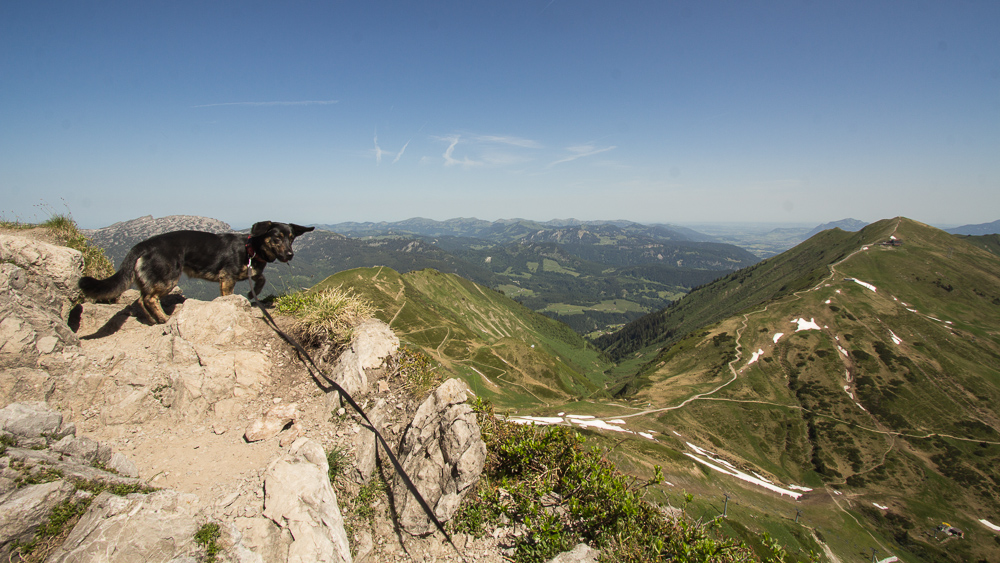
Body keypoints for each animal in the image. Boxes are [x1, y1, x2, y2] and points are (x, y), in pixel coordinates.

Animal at [78, 221, 312, 324]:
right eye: (277, 238)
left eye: (292, 238)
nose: (290, 254)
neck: (250, 248)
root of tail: (143, 245)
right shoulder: (227, 279)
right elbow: (229, 294)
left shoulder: (250, 270)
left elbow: (260, 278)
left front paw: (251, 293)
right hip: (169, 278)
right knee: (149, 298)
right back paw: (164, 318)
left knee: (140, 300)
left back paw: (153, 320)